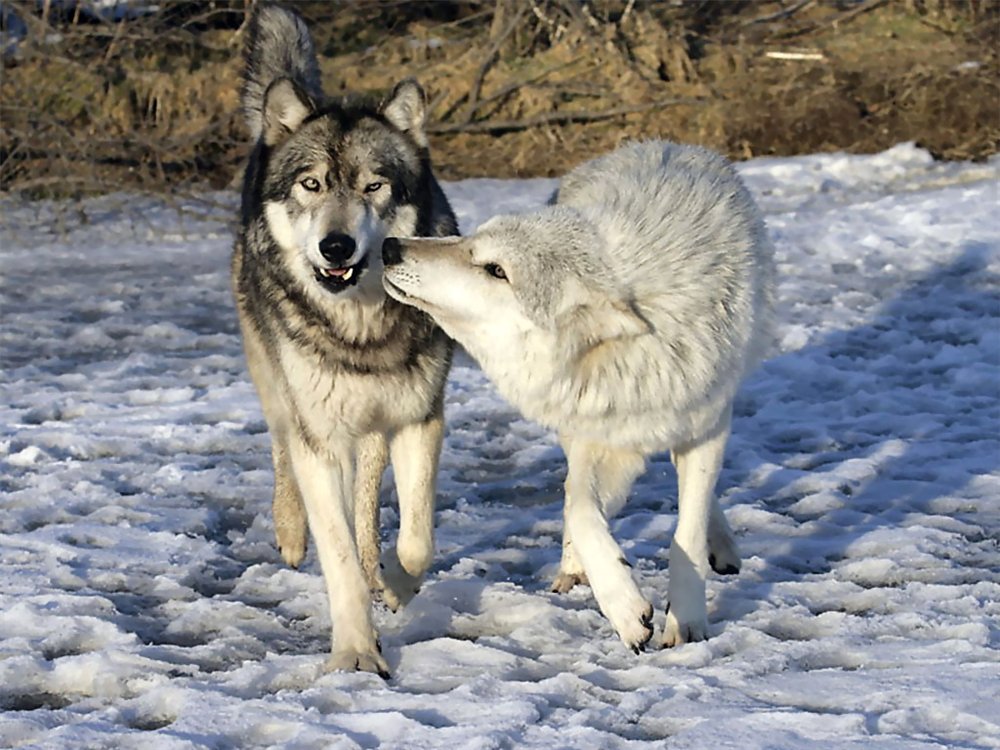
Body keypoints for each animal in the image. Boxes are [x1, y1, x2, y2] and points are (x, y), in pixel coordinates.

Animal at [232, 2, 456, 680]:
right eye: (311, 185)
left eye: (373, 186)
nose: (336, 247)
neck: (360, 330)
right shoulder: (322, 440)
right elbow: (337, 562)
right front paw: (356, 651)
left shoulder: (418, 419)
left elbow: (416, 540)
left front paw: (394, 580)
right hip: (278, 385)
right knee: (281, 444)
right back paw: (289, 532)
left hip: (374, 427)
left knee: (369, 502)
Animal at [380, 141, 772, 652]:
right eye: (472, 240)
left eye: (496, 270)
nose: (390, 246)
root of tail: (658, 143)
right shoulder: (593, 432)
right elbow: (580, 507)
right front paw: (623, 603)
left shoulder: (703, 425)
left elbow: (684, 531)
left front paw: (685, 620)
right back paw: (574, 566)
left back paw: (719, 545)